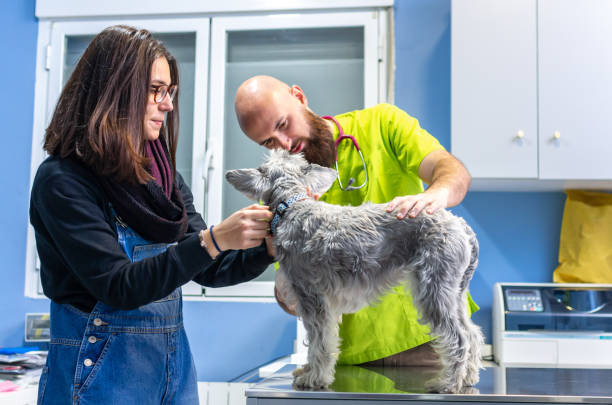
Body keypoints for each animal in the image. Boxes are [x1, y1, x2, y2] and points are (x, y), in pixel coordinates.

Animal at [225, 148, 482, 392]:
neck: (292, 207)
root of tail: (461, 225)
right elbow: (321, 340)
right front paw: (308, 371)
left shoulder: (310, 295)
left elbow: (319, 341)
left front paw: (314, 378)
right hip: (454, 294)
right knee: (472, 334)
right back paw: (468, 378)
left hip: (434, 290)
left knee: (458, 338)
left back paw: (447, 383)